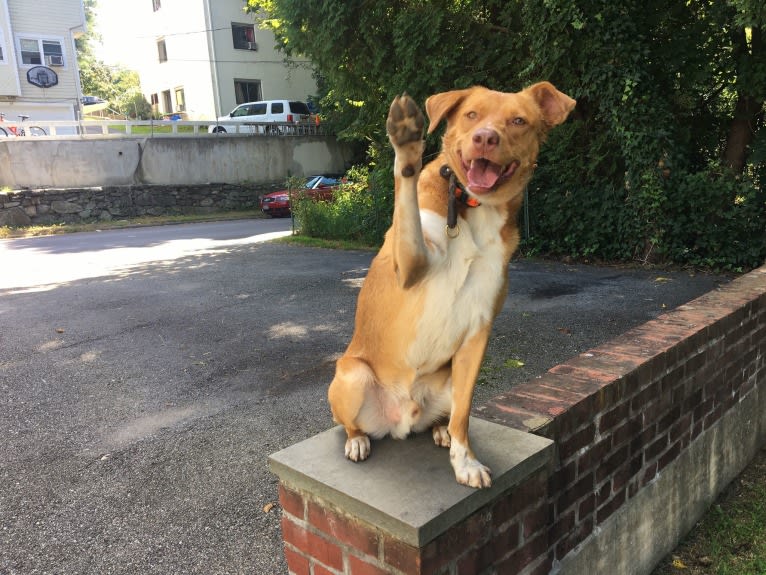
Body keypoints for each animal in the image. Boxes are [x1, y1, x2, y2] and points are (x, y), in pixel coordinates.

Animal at [328, 84, 572, 490]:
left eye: (518, 121)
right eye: (472, 114)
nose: (486, 138)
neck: (473, 207)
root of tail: (400, 422)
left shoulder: (478, 330)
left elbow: (465, 414)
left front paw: (465, 462)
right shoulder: (410, 265)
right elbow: (407, 202)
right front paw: (406, 142)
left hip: (446, 381)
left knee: (448, 413)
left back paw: (439, 430)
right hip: (353, 375)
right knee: (349, 423)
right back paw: (357, 440)